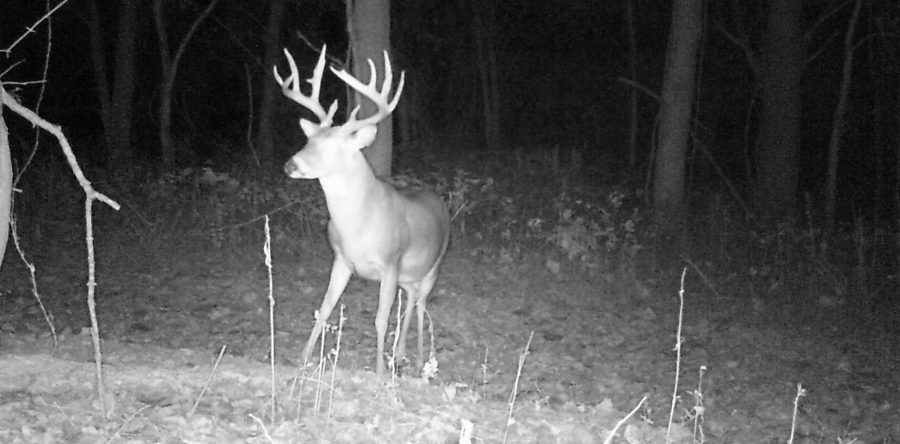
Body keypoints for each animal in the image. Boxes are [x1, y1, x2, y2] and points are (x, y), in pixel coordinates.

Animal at [274, 45, 450, 378]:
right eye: (308, 140)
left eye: (333, 148)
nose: (290, 164)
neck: (357, 226)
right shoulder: (342, 259)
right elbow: (324, 308)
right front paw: (302, 359)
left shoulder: (391, 261)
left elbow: (380, 319)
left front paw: (379, 371)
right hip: (408, 276)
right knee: (410, 301)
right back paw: (401, 354)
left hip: (433, 265)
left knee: (421, 306)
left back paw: (420, 359)